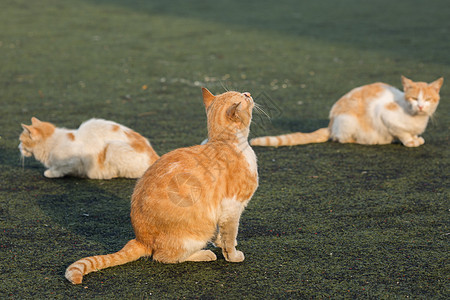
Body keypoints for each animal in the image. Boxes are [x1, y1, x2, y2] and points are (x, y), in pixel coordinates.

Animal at [19, 117, 160, 178]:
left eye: (21, 140)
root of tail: (156, 157)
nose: (18, 146)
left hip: (112, 147)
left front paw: (50, 172)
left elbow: (59, 169)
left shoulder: (74, 160)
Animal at [65, 88, 258, 284]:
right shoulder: (232, 207)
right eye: (244, 97)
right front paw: (233, 256)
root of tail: (140, 239)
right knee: (164, 257)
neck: (226, 142)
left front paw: (221, 243)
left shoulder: (223, 210)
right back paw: (204, 254)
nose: (249, 93)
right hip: (197, 234)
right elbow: (229, 236)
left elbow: (222, 234)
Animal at [251, 76, 444, 148]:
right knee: (341, 138)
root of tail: (331, 124)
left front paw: (416, 138)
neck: (416, 119)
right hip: (348, 121)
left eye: (428, 99)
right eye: (414, 98)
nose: (420, 106)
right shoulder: (385, 114)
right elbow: (402, 133)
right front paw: (410, 141)